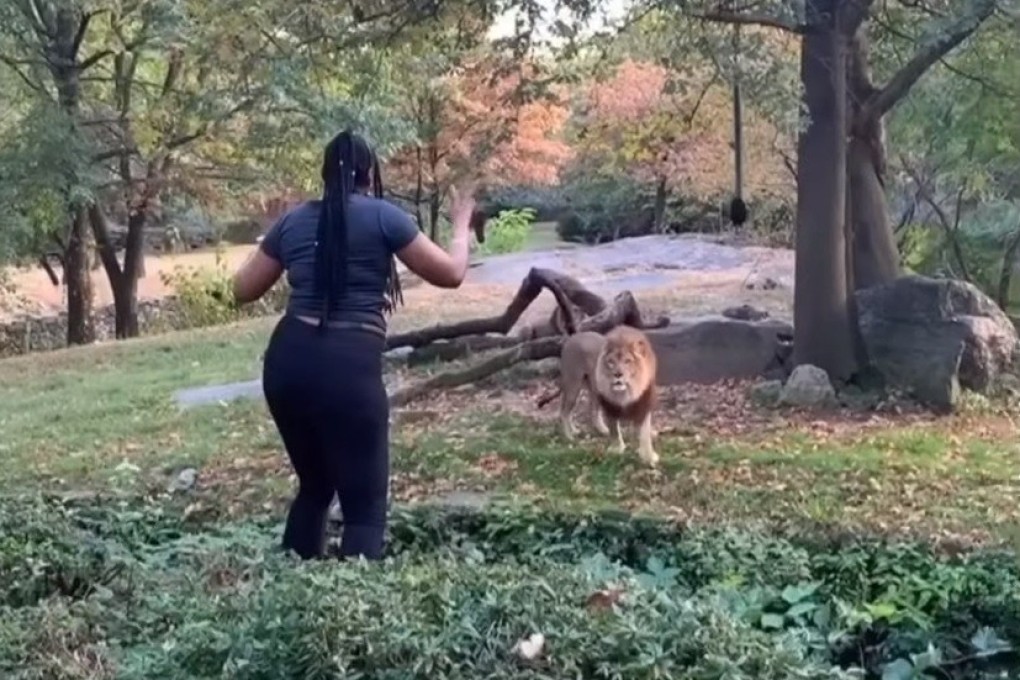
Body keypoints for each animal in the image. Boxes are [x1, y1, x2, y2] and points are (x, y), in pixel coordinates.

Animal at [542, 326, 660, 468]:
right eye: (611, 362)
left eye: (627, 361)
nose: (618, 374)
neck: (628, 391)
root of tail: (572, 338)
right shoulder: (610, 405)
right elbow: (615, 429)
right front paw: (617, 449)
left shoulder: (644, 405)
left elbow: (644, 434)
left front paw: (649, 457)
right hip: (573, 385)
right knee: (565, 412)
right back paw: (569, 436)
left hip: (590, 389)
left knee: (585, 411)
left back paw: (589, 430)